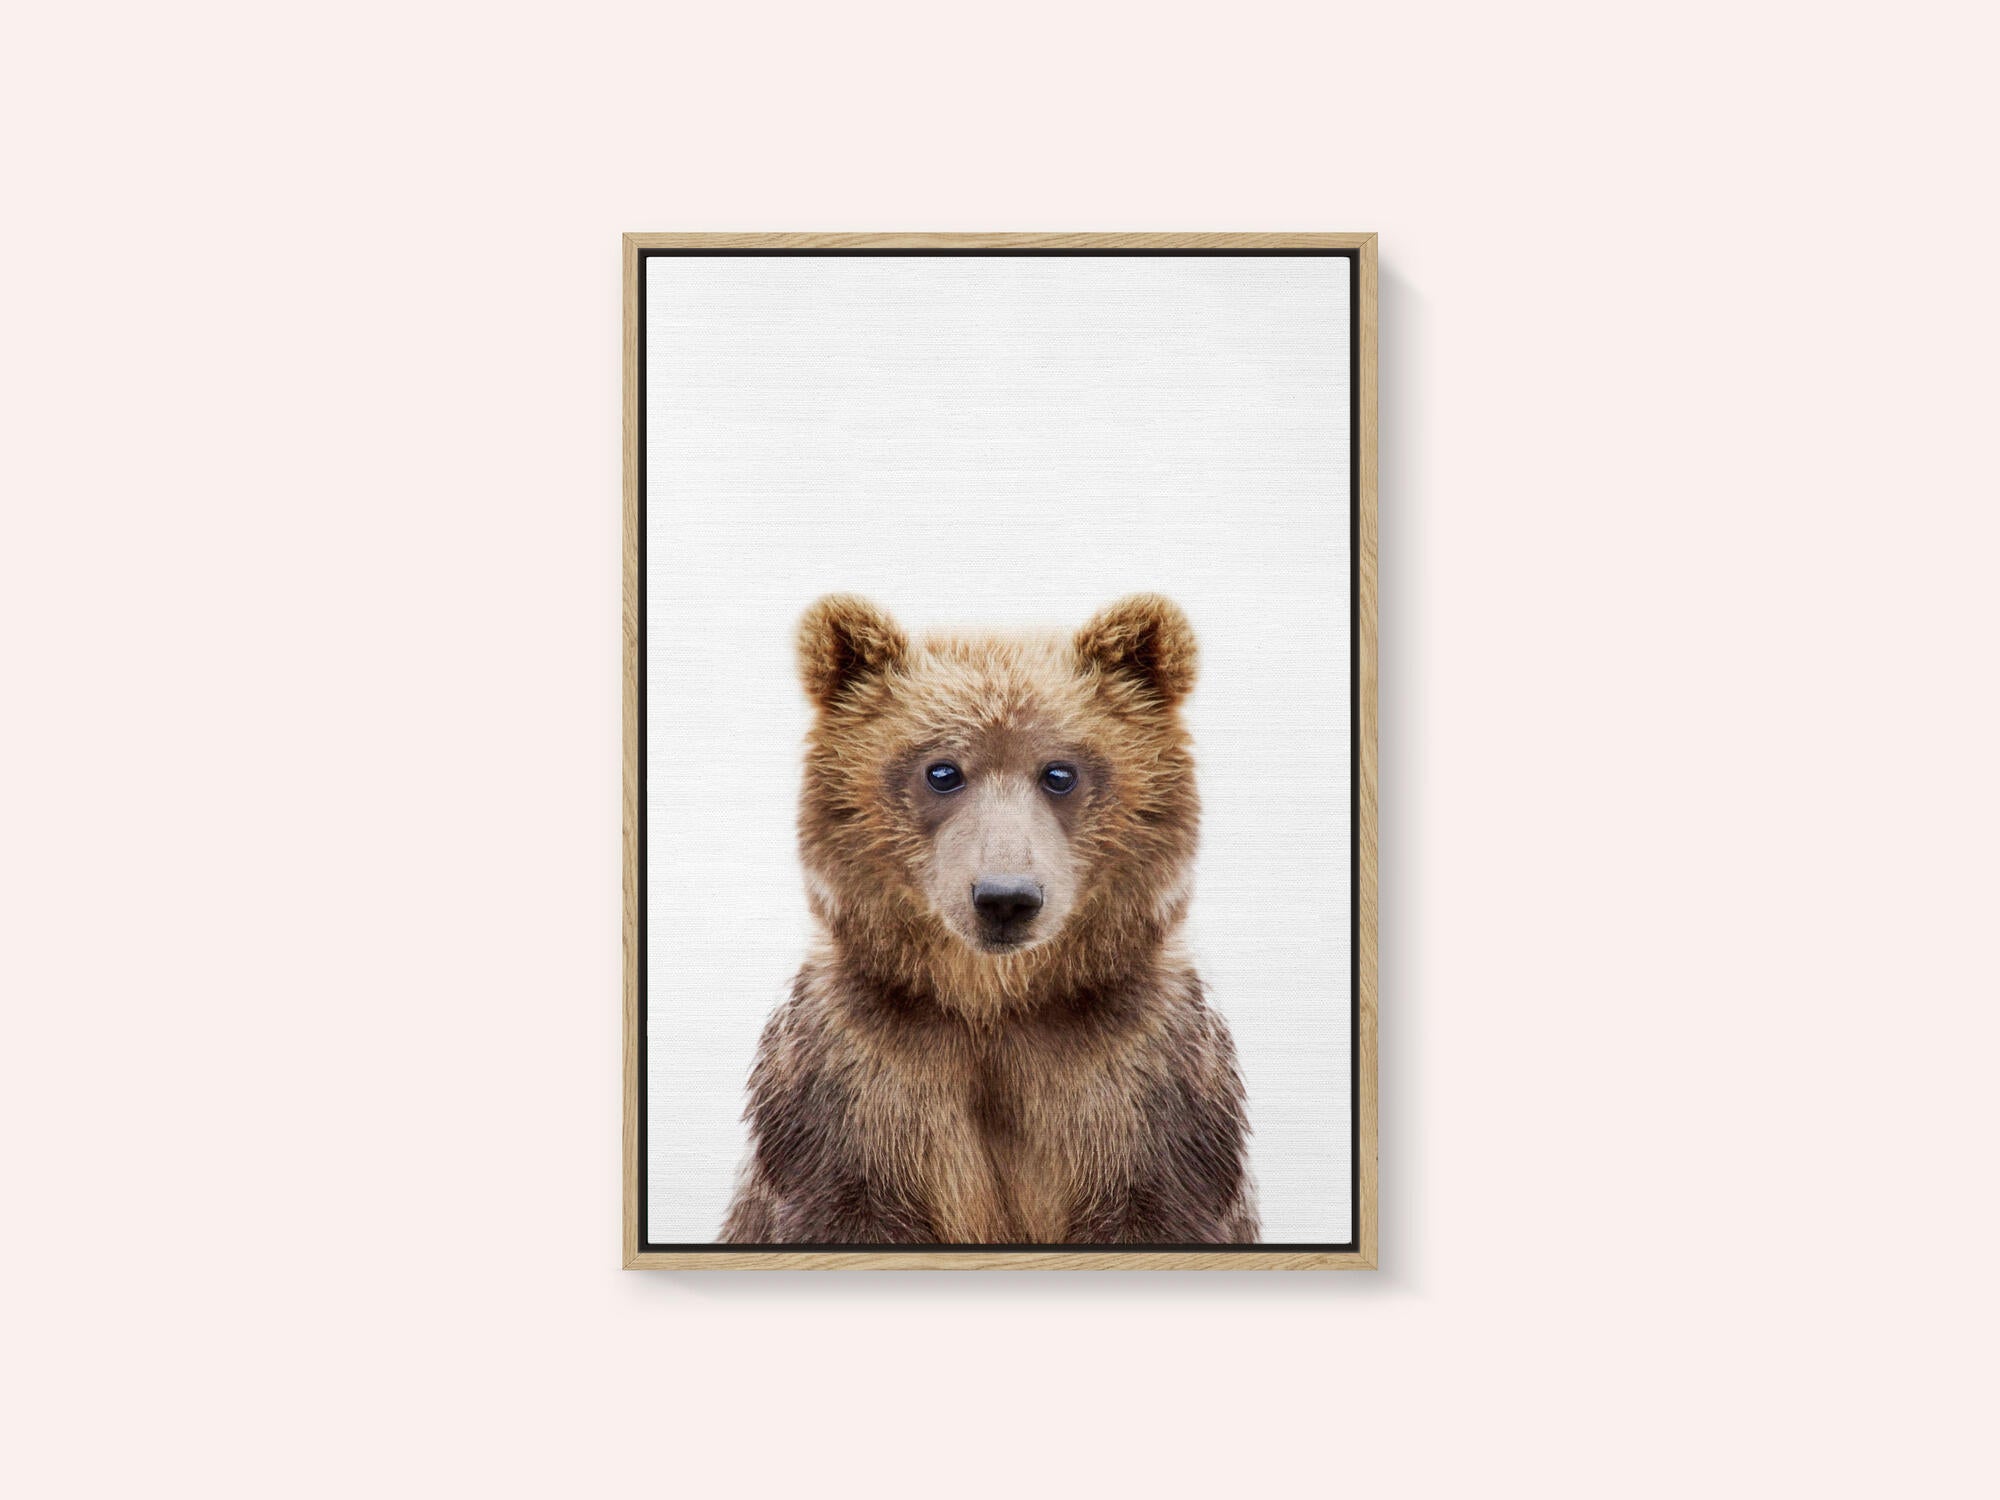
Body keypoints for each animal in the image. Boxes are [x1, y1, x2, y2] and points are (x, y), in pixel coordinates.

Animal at [718, 593, 1257, 1245]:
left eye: (1059, 772)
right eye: (942, 770)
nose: (1005, 897)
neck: (995, 1004)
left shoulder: (1140, 1082)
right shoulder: (857, 1082)